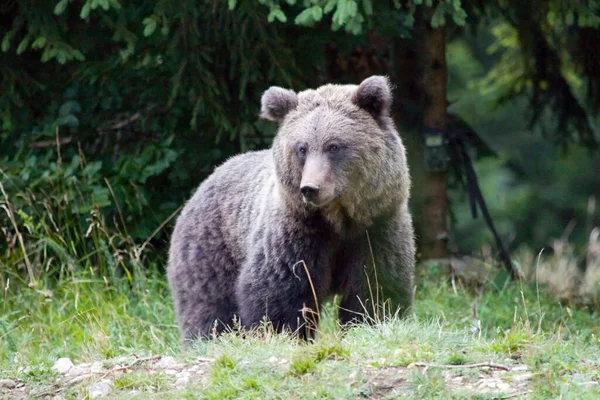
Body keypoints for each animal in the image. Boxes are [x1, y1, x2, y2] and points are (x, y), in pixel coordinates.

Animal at [166, 76, 414, 342]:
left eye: (334, 146)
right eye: (302, 148)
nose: (310, 188)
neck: (338, 220)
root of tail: (207, 179)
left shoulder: (376, 229)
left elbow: (374, 288)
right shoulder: (296, 235)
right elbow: (281, 293)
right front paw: (283, 334)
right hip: (212, 247)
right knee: (208, 305)